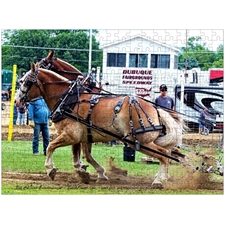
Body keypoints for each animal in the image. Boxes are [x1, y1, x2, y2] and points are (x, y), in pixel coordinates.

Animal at [16, 62, 188, 188]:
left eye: (27, 82)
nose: (17, 101)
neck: (69, 99)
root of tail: (154, 108)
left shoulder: (71, 135)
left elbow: (50, 146)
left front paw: (51, 169)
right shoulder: (85, 137)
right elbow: (86, 156)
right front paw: (97, 173)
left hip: (138, 141)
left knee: (164, 155)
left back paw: (160, 180)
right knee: (169, 153)